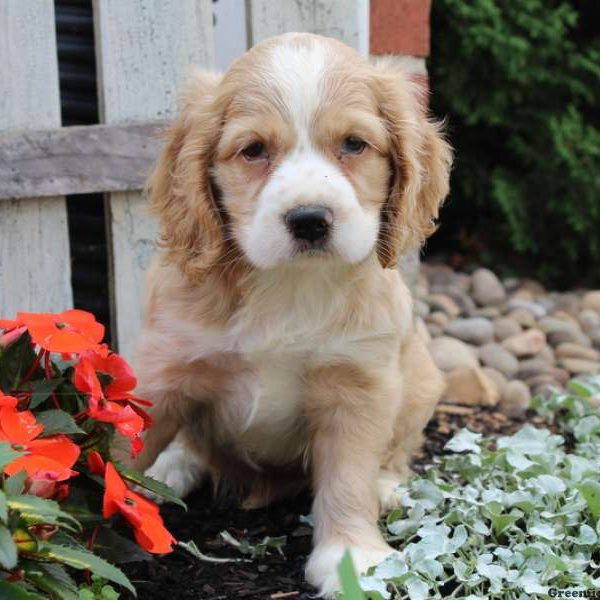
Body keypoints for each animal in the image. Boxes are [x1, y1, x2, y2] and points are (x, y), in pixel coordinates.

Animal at [132, 32, 450, 596]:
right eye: (254, 149)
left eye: (354, 144)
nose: (309, 220)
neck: (289, 284)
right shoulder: (162, 370)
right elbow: (114, 447)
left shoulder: (358, 384)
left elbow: (348, 474)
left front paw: (352, 558)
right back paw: (171, 466)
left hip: (421, 381)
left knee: (396, 449)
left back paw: (387, 486)